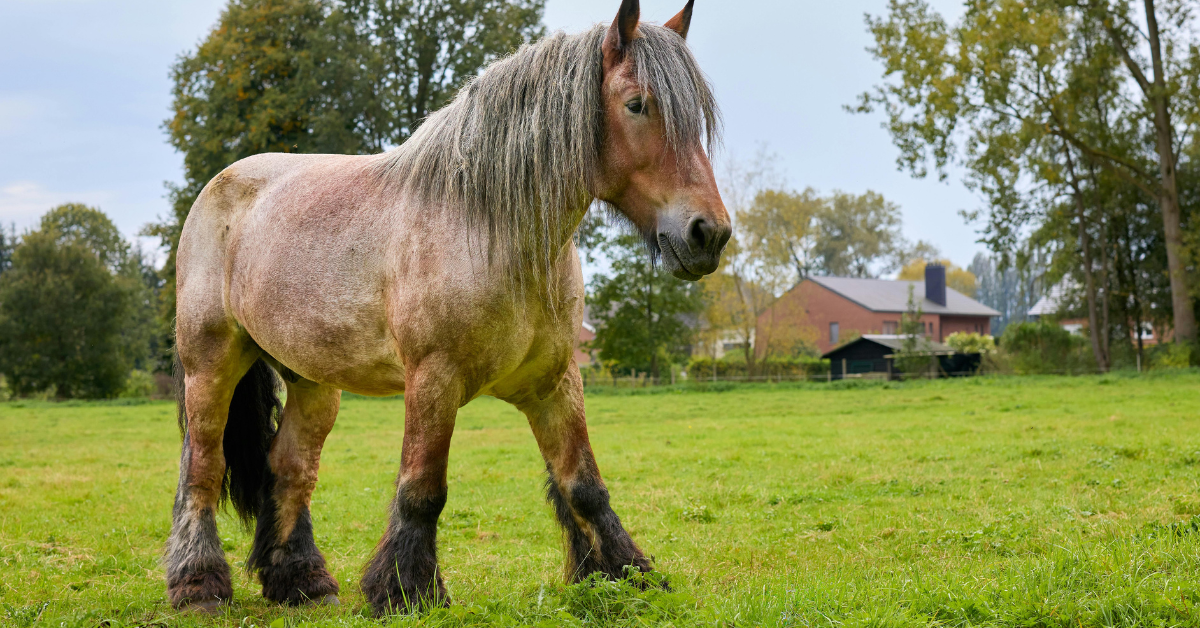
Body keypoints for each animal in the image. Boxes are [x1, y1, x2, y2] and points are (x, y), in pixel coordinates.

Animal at [165, 0, 730, 615]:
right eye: (636, 104)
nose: (708, 234)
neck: (486, 227)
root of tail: (220, 185)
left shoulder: (555, 382)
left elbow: (583, 484)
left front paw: (627, 575)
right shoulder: (434, 379)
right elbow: (422, 489)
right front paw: (405, 589)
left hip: (314, 382)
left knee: (290, 468)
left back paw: (301, 582)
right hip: (211, 366)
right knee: (203, 467)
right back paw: (198, 584)